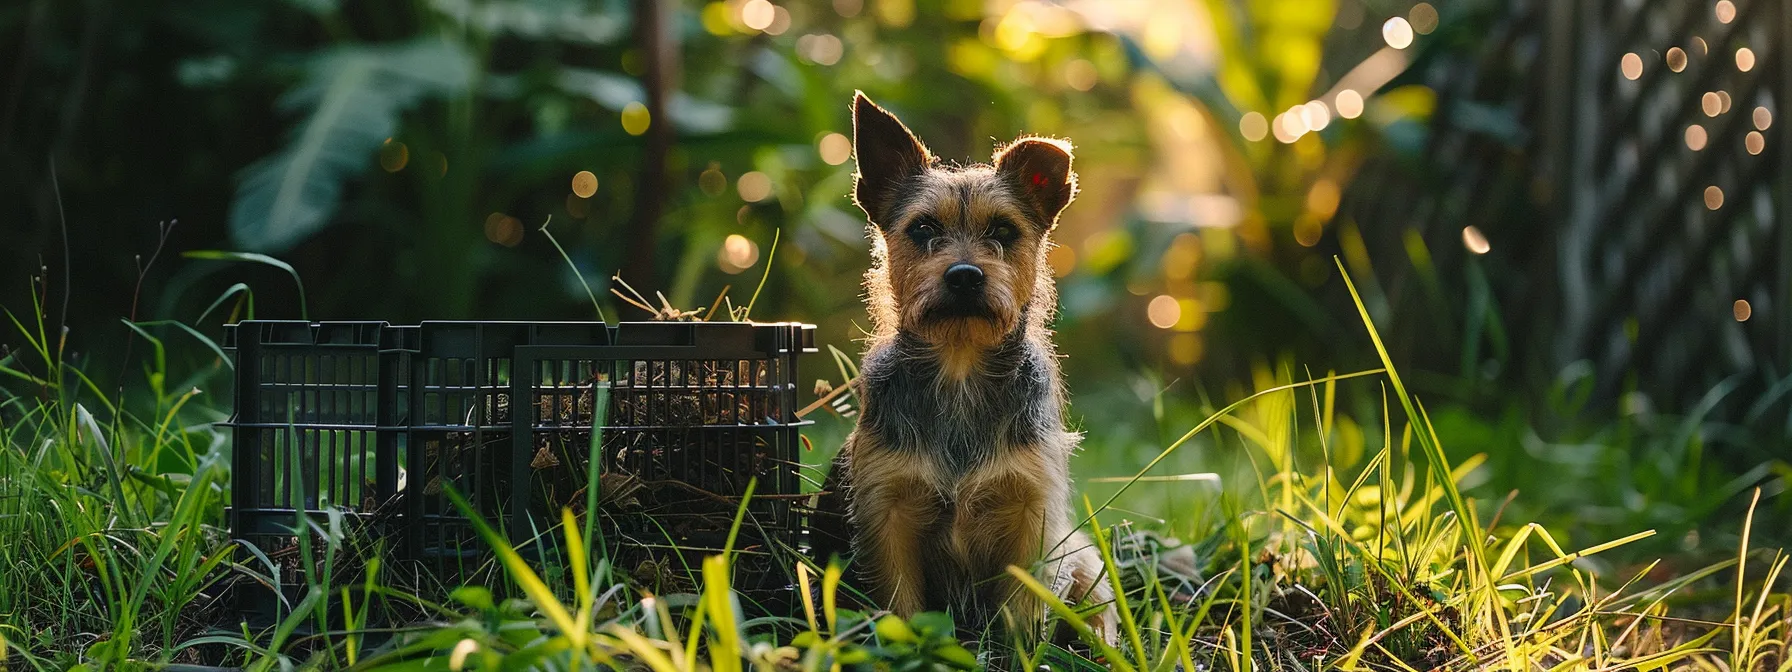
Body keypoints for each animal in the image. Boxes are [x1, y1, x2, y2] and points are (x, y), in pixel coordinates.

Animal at [827, 92, 1118, 645]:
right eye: (923, 229)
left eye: (1003, 230)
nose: (964, 275)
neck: (960, 365)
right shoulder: (887, 514)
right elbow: (901, 607)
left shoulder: (1033, 514)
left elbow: (1022, 618)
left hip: (1083, 560)